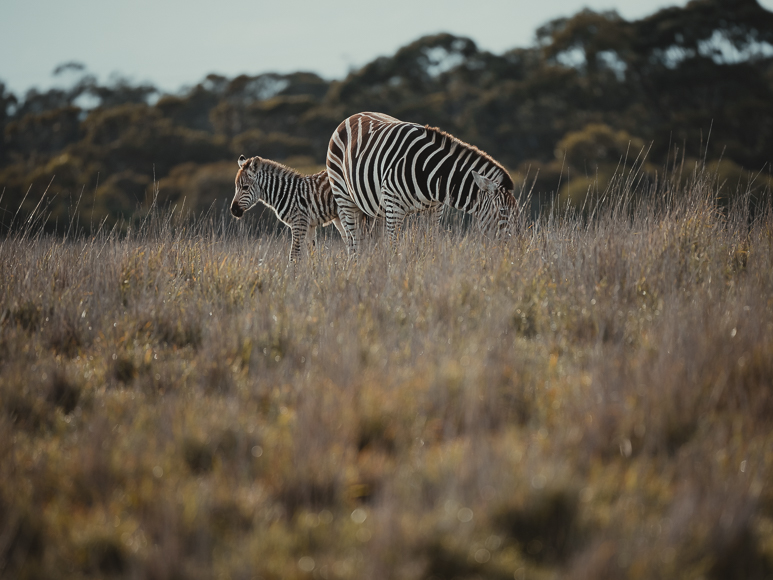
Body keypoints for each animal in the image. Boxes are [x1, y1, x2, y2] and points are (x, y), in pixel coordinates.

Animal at [326, 112, 518, 255]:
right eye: (503, 211)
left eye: (516, 212)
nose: (512, 249)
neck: (432, 174)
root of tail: (352, 116)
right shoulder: (394, 207)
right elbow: (394, 245)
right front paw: (394, 272)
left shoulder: (435, 208)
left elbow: (430, 241)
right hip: (345, 198)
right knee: (354, 240)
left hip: (375, 208)